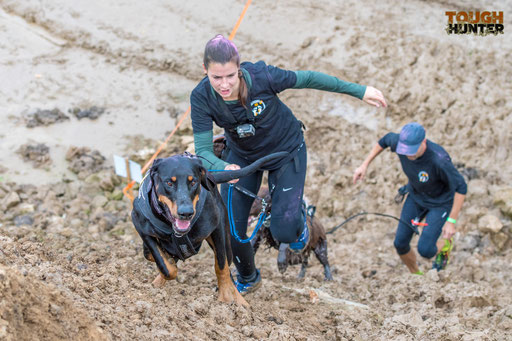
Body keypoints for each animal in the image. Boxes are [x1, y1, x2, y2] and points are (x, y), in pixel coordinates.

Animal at [131, 151, 288, 306]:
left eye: (193, 182)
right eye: (169, 183)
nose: (186, 213)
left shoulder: (216, 228)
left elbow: (221, 266)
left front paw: (225, 297)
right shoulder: (141, 227)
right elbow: (164, 265)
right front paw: (165, 266)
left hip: (227, 240)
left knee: (228, 265)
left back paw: (239, 301)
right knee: (153, 254)